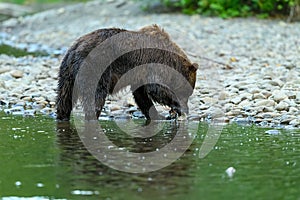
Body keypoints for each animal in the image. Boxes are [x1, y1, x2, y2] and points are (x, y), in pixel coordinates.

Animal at [56, 24, 198, 121]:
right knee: (95, 95)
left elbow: (142, 95)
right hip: (95, 66)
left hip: (67, 72)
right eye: (187, 93)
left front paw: (157, 116)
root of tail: (76, 47)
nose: (186, 107)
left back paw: (62, 116)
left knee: (64, 98)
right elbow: (155, 87)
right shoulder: (154, 63)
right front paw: (177, 107)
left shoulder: (139, 74)